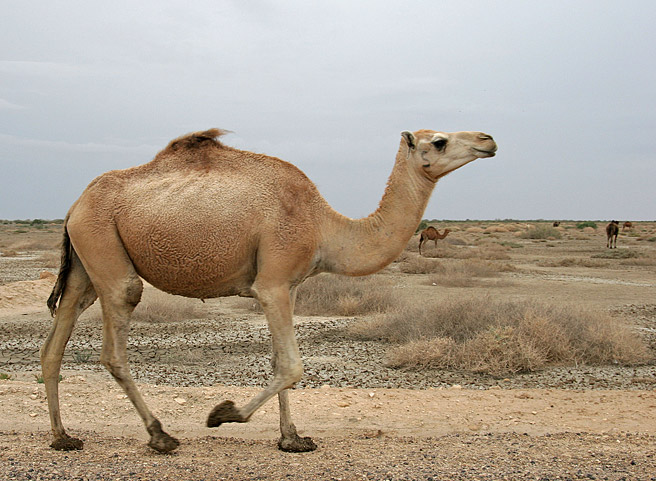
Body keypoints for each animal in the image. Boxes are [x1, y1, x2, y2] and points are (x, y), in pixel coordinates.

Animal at [43, 125, 498, 452]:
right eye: (439, 141)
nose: (488, 140)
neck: (324, 227)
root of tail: (73, 206)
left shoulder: (289, 286)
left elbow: (280, 363)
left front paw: (293, 439)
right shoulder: (272, 282)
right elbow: (293, 366)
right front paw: (223, 414)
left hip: (85, 263)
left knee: (57, 340)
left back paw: (63, 437)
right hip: (104, 246)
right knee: (116, 334)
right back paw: (160, 436)